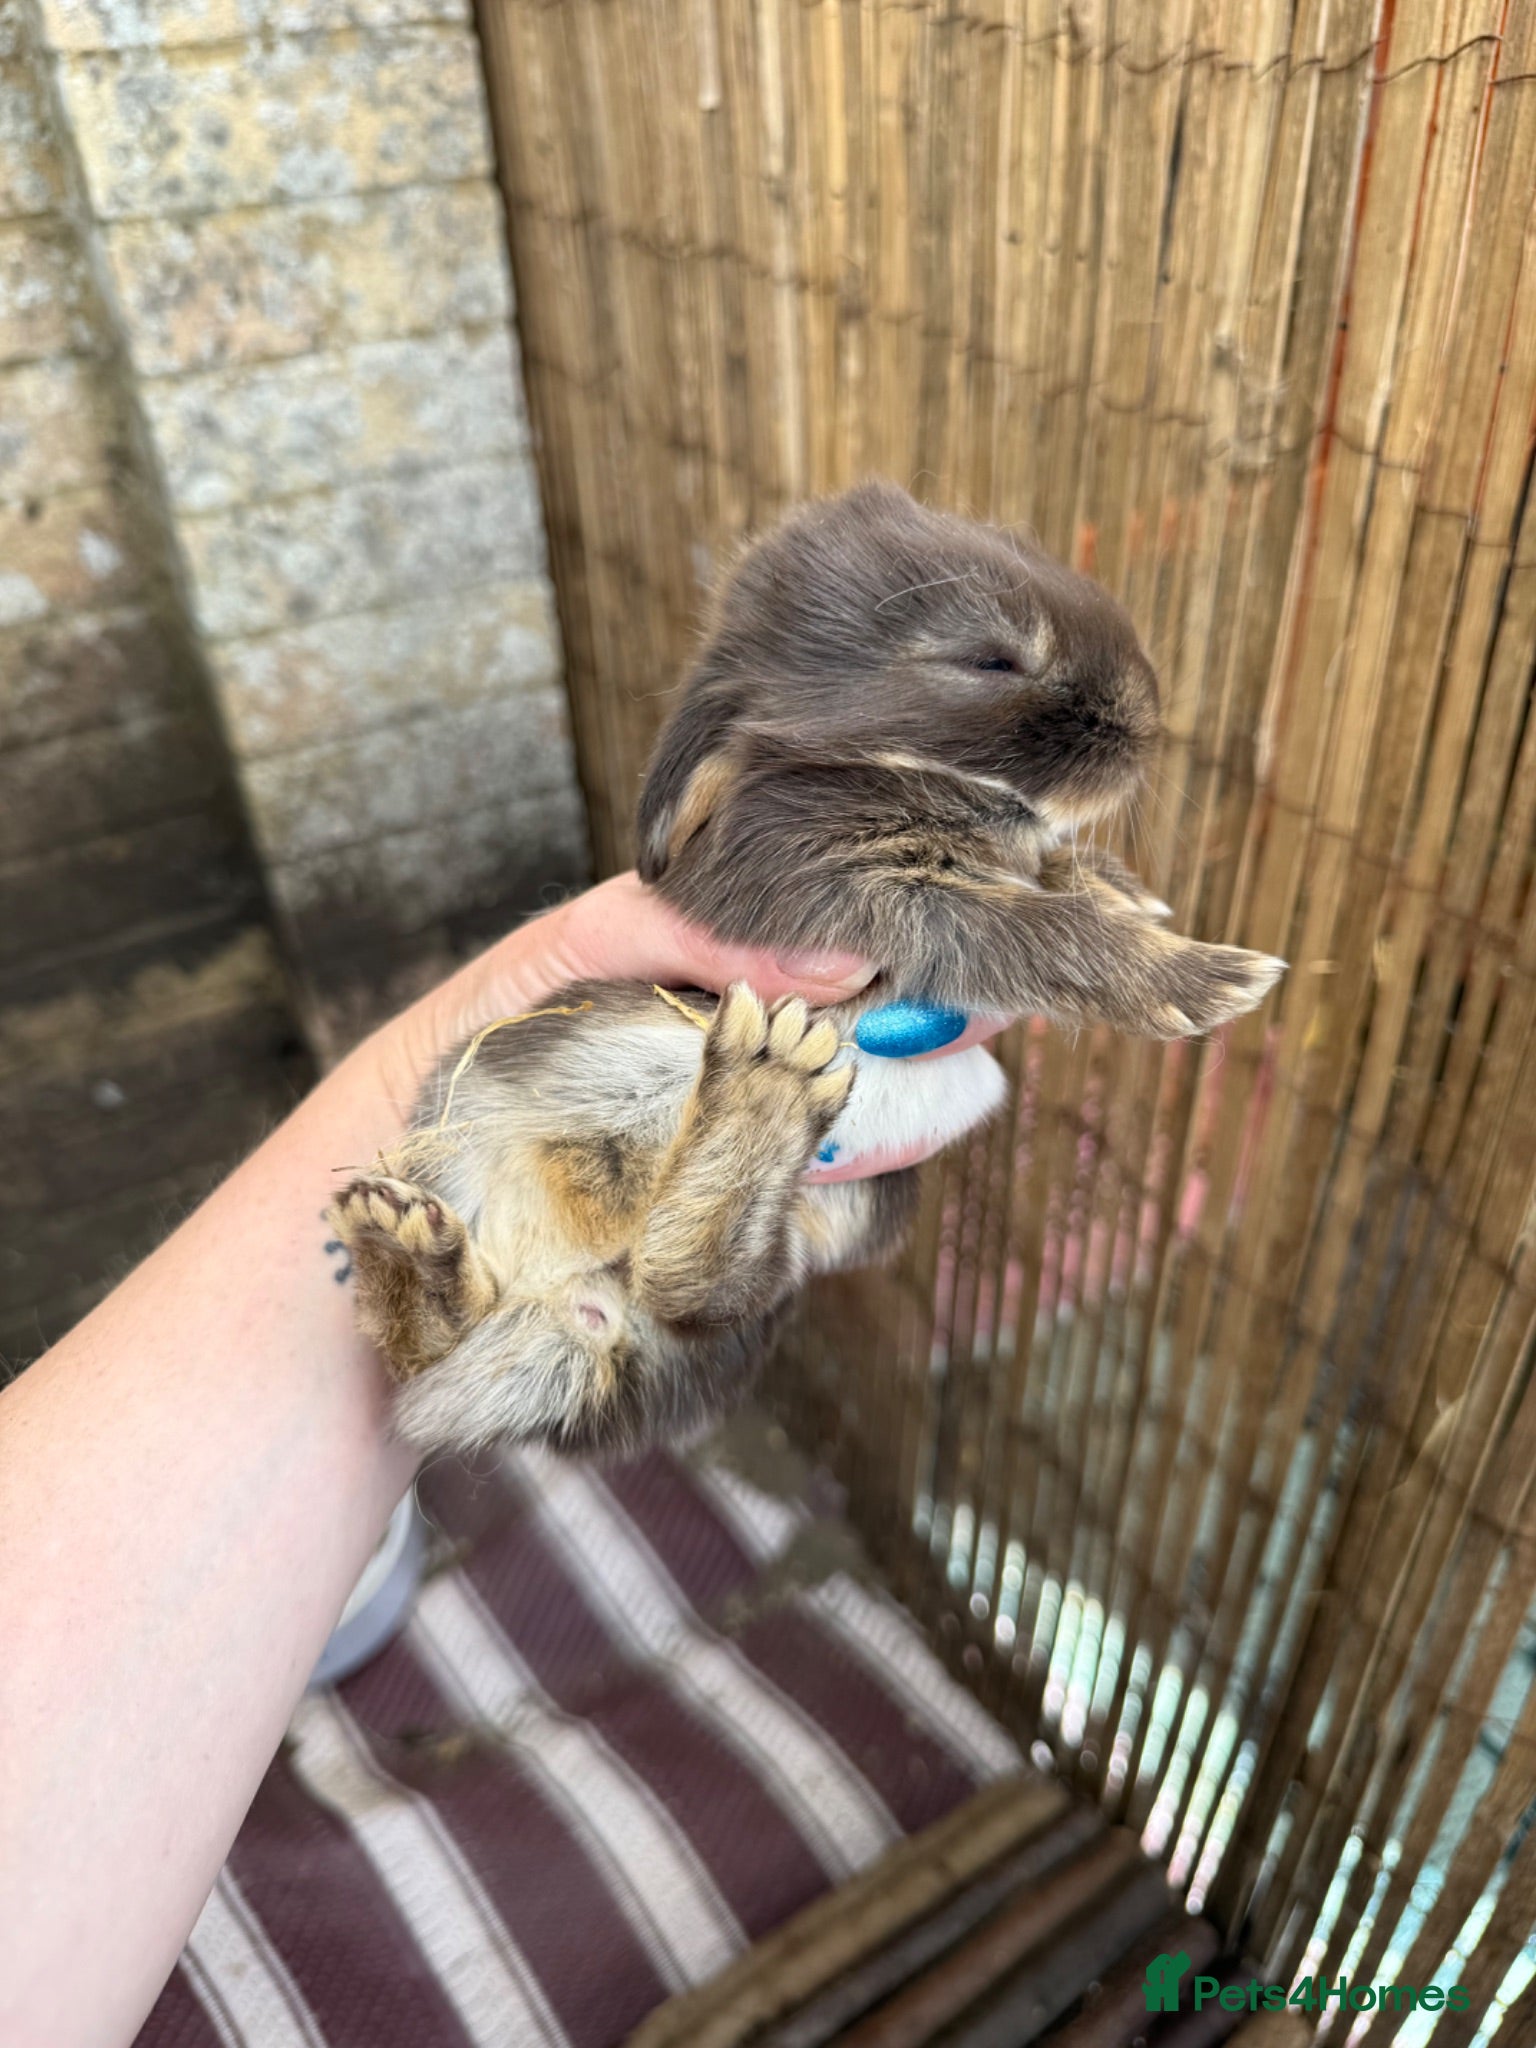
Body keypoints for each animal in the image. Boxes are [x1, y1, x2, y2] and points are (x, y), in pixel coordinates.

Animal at [327, 481, 1285, 1457]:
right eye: (989, 660)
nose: (1147, 717)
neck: (891, 774)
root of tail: (583, 1310)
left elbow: (1050, 877)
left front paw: (1131, 895)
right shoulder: (836, 890)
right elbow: (1018, 926)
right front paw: (1205, 979)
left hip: (841, 1212)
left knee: (689, 1293)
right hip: (465, 1132)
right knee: (446, 1347)